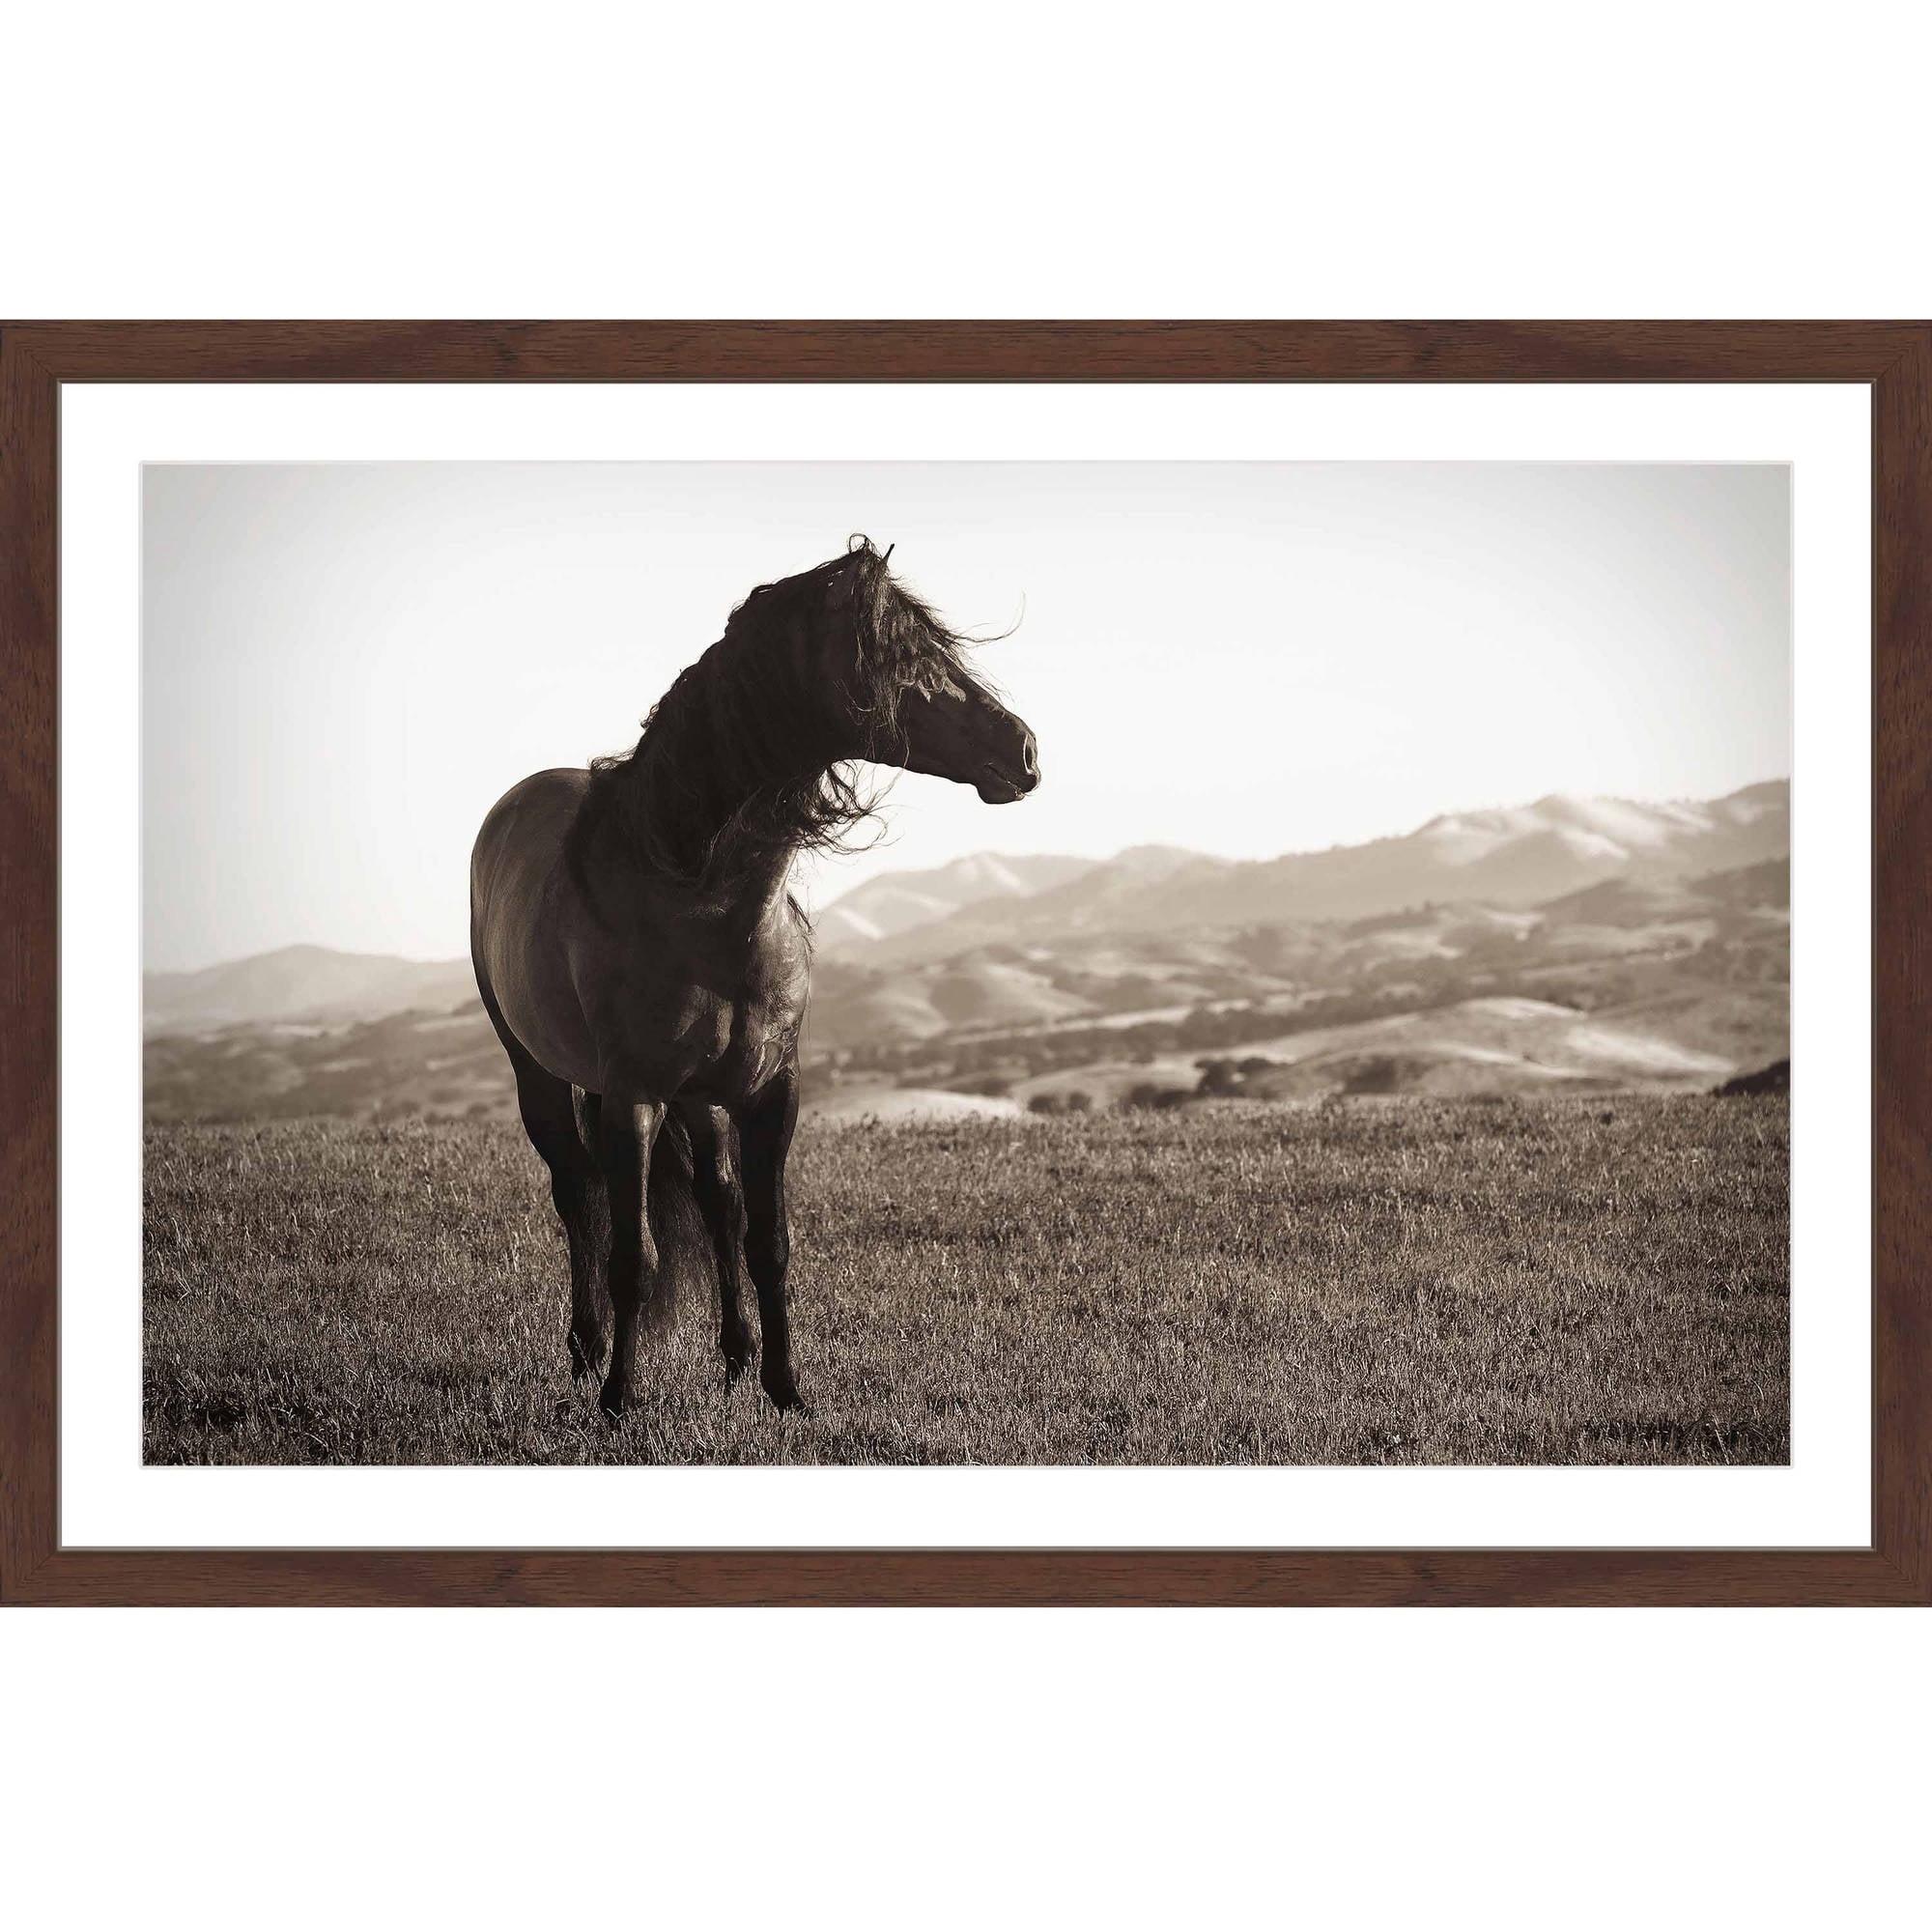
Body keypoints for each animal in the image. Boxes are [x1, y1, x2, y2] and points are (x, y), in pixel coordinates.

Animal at [469, 537, 1040, 1420]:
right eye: (902, 655)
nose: (1023, 751)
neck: (697, 902)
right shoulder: (633, 1097)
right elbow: (633, 1255)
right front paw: (620, 1399)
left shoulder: (774, 1092)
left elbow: (767, 1237)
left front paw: (785, 1387)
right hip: (541, 1075)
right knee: (578, 1196)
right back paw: (588, 1352)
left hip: (704, 1100)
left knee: (715, 1201)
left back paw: (734, 1354)